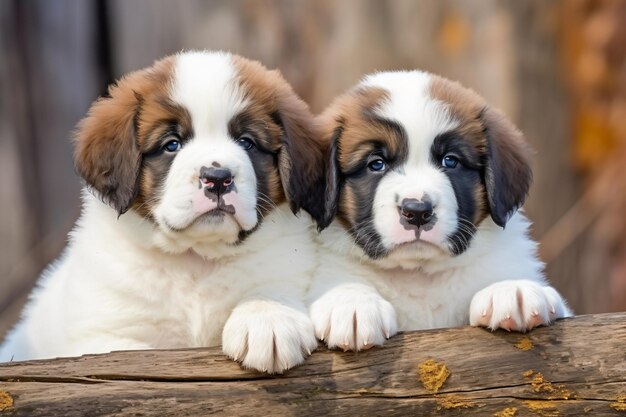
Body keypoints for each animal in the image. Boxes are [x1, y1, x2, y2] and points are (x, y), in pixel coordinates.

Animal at [1, 50, 326, 372]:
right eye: (172, 144)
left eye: (247, 142)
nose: (217, 178)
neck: (195, 260)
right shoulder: (103, 335)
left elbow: (271, 284)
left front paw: (268, 318)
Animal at [308, 71, 572, 352]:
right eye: (376, 164)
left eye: (450, 161)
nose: (417, 211)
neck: (419, 275)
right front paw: (352, 303)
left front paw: (511, 288)